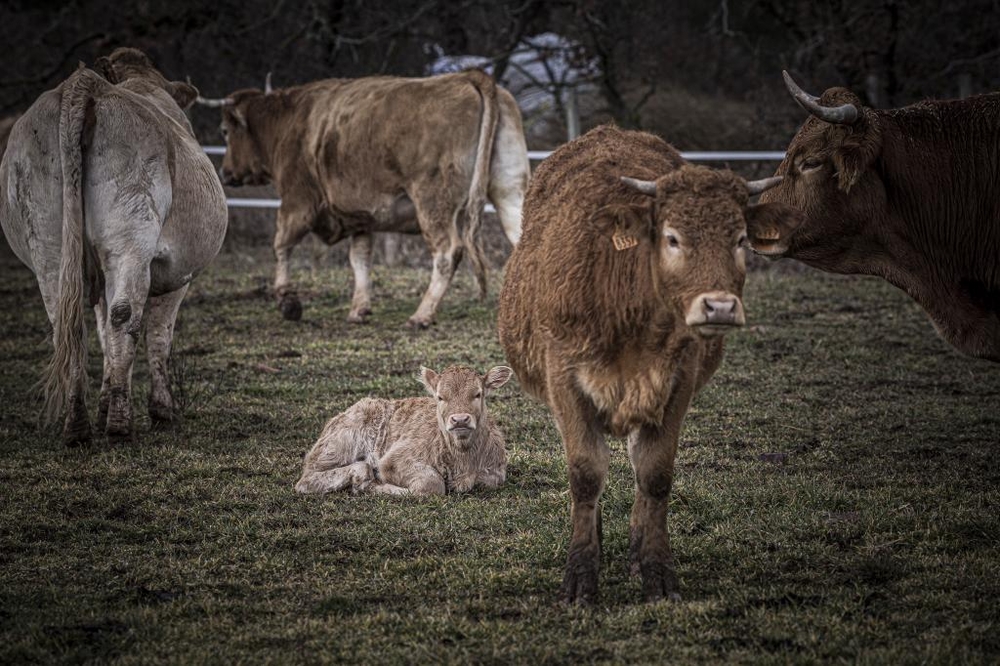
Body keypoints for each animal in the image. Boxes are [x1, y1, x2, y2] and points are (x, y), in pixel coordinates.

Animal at [0, 49, 227, 444]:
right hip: (129, 241)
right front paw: (161, 409)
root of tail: (85, 85)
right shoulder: (176, 273)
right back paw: (119, 423)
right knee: (125, 316)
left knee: (67, 323)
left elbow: (104, 331)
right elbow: (158, 336)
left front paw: (105, 402)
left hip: (47, 244)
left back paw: (78, 422)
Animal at [199, 71, 536, 326]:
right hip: (509, 190)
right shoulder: (361, 216)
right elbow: (360, 258)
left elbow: (282, 244)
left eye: (225, 130)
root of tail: (468, 76)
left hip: (433, 201)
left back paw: (422, 314)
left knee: (447, 252)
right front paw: (359, 307)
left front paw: (286, 299)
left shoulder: (298, 201)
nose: (225, 172)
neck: (288, 122)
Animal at [292, 364, 512, 492]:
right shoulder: (393, 459)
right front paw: (376, 486)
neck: (462, 459)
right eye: (440, 397)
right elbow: (430, 484)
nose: (460, 420)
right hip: (336, 445)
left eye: (478, 394)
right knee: (306, 479)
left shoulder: (495, 473)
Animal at [496, 124, 784, 600]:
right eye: (672, 237)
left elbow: (655, 474)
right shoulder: (563, 379)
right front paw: (581, 575)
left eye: (741, 239)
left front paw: (656, 571)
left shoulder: (677, 381)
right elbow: (585, 473)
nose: (720, 307)